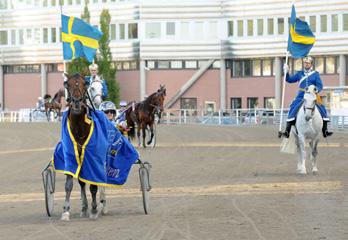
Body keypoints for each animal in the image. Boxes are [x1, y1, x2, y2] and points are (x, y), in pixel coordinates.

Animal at [60, 73, 99, 221]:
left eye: (84, 84)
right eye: (68, 84)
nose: (76, 102)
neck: (80, 129)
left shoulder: (93, 157)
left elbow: (94, 185)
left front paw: (94, 210)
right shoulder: (71, 153)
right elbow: (69, 184)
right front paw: (66, 211)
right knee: (82, 183)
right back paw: (84, 207)